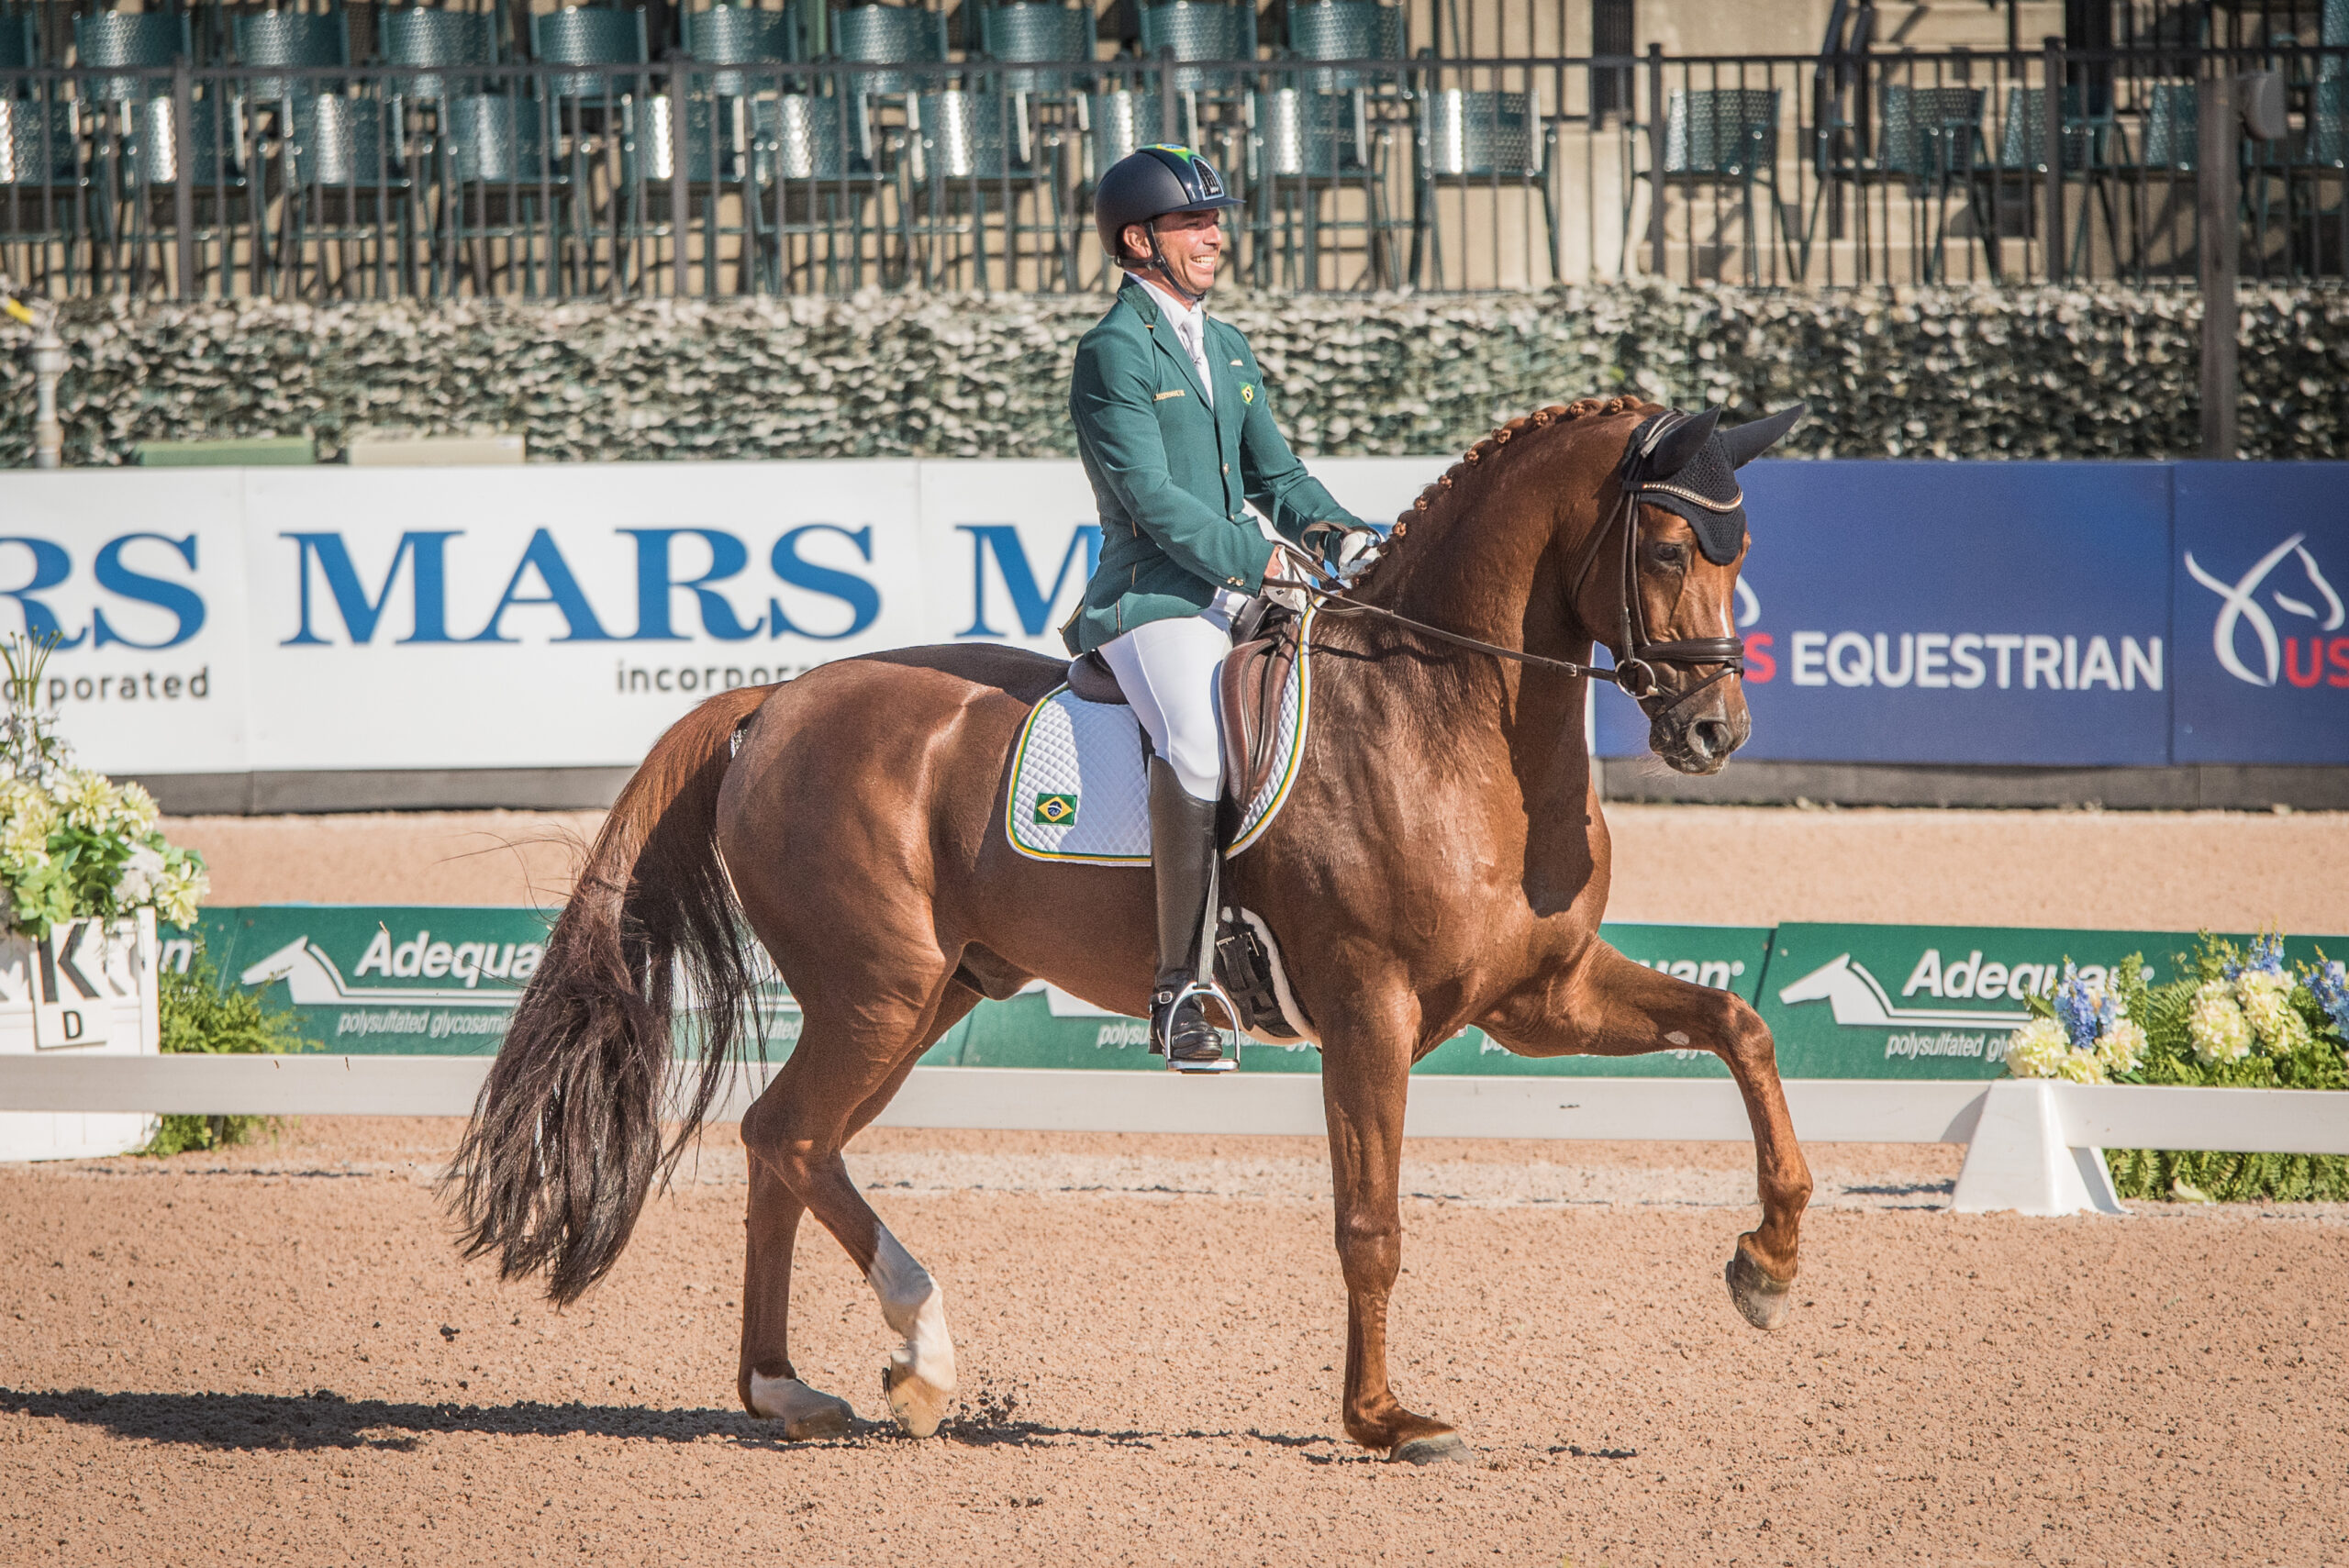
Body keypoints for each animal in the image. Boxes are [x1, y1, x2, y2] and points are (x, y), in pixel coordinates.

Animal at [446, 393, 1815, 1465]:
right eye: (1673, 545)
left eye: (1745, 547)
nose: (1715, 731)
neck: (1445, 719)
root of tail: (775, 699)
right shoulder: (1370, 1011)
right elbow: (1369, 1222)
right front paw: (1383, 1419)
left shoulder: (1542, 995)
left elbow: (1739, 1023)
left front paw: (1767, 1261)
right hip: (877, 992)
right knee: (788, 1135)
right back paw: (917, 1354)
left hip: (929, 995)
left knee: (789, 1144)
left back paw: (796, 1387)